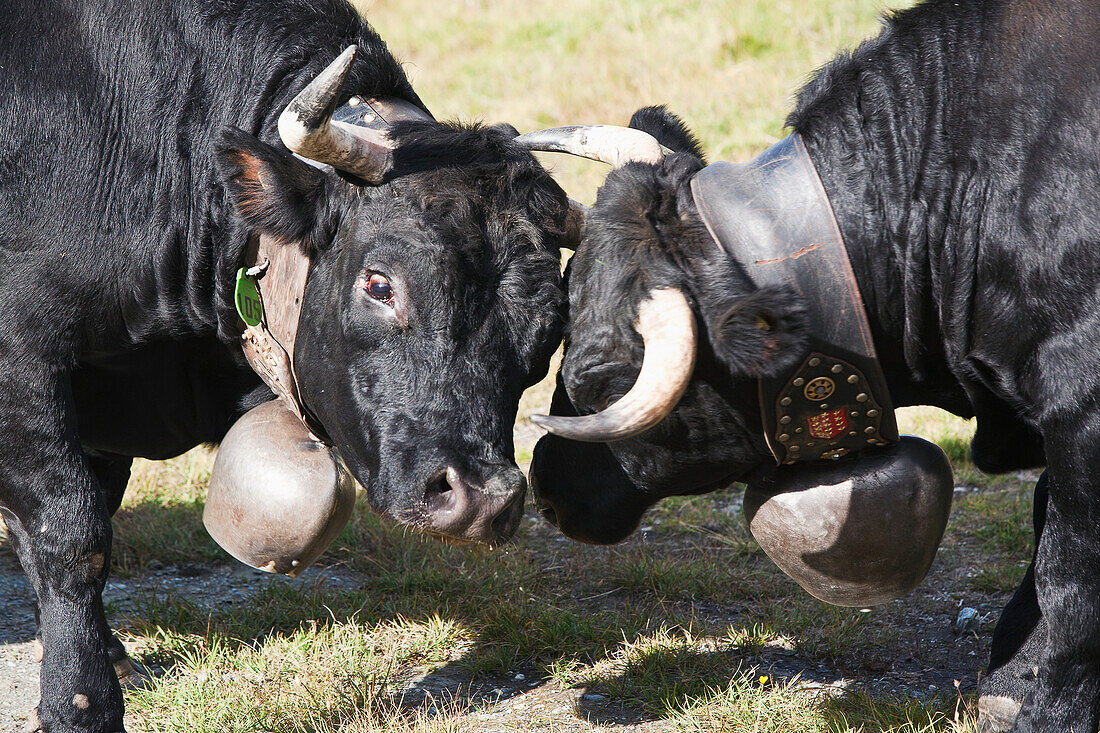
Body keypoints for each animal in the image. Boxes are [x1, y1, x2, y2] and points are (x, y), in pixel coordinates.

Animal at [0, 1, 567, 730]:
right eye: (380, 284)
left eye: (552, 327)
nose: (482, 499)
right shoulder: (26, 356)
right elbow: (70, 530)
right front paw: (81, 699)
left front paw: (110, 656)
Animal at [532, 1, 1100, 730]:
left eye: (598, 378)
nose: (544, 490)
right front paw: (1010, 674)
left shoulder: (1081, 415)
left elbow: (1067, 573)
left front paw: (1041, 704)